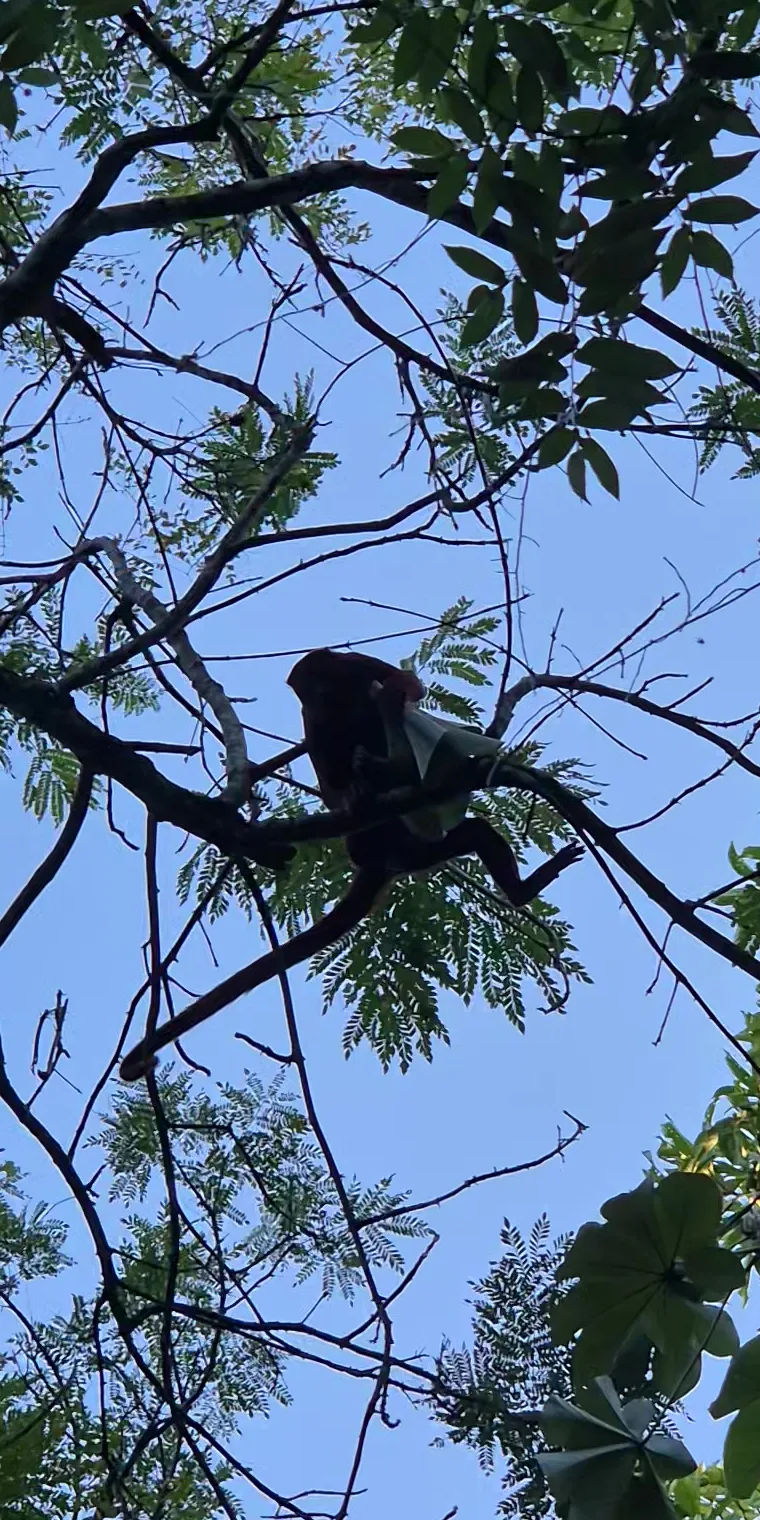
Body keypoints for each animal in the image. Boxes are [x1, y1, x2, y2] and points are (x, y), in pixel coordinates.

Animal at [119, 647, 582, 1082]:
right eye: (306, 690)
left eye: (320, 678)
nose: (319, 695)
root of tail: (382, 856)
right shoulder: (310, 716)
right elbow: (326, 762)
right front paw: (351, 785)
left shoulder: (357, 665)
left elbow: (403, 684)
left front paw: (393, 701)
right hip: (413, 851)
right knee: (456, 826)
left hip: (418, 847)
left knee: (473, 830)